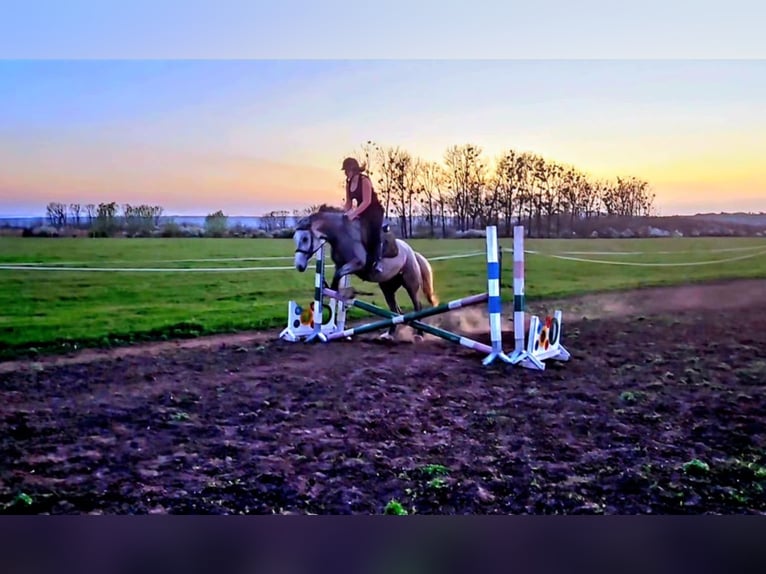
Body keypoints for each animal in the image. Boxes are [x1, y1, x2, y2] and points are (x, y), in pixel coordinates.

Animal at [292, 208, 438, 340]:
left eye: (305, 239)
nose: (299, 266)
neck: (341, 235)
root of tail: (412, 253)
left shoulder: (358, 264)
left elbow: (339, 274)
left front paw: (340, 293)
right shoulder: (340, 264)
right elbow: (337, 273)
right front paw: (330, 288)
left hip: (410, 284)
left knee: (417, 306)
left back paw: (419, 334)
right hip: (388, 287)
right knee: (395, 311)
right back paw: (389, 334)